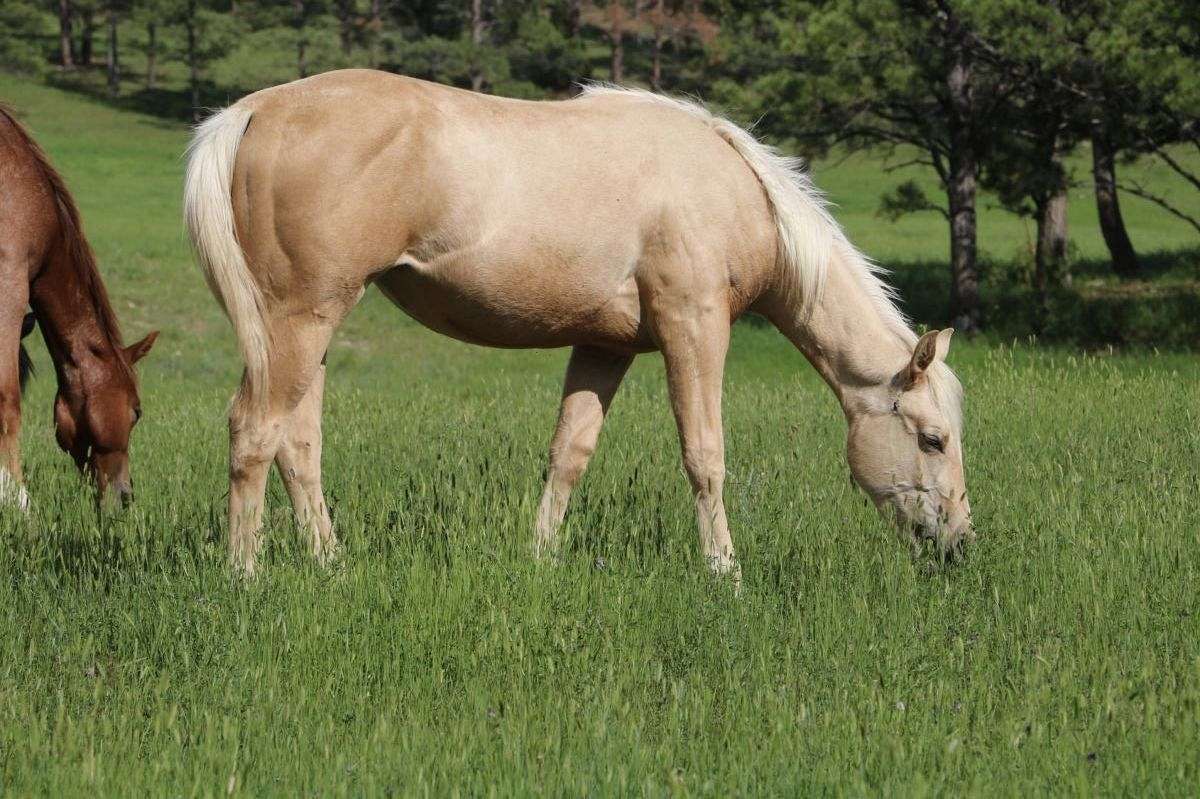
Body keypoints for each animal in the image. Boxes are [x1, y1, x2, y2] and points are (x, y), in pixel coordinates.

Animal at [184, 69, 974, 578]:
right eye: (932, 438)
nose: (959, 544)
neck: (732, 191)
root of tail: (257, 109)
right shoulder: (694, 327)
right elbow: (705, 454)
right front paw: (724, 571)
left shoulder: (604, 346)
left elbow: (570, 452)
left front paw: (541, 557)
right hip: (299, 321)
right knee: (254, 431)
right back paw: (245, 574)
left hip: (311, 328)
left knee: (298, 443)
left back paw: (329, 563)